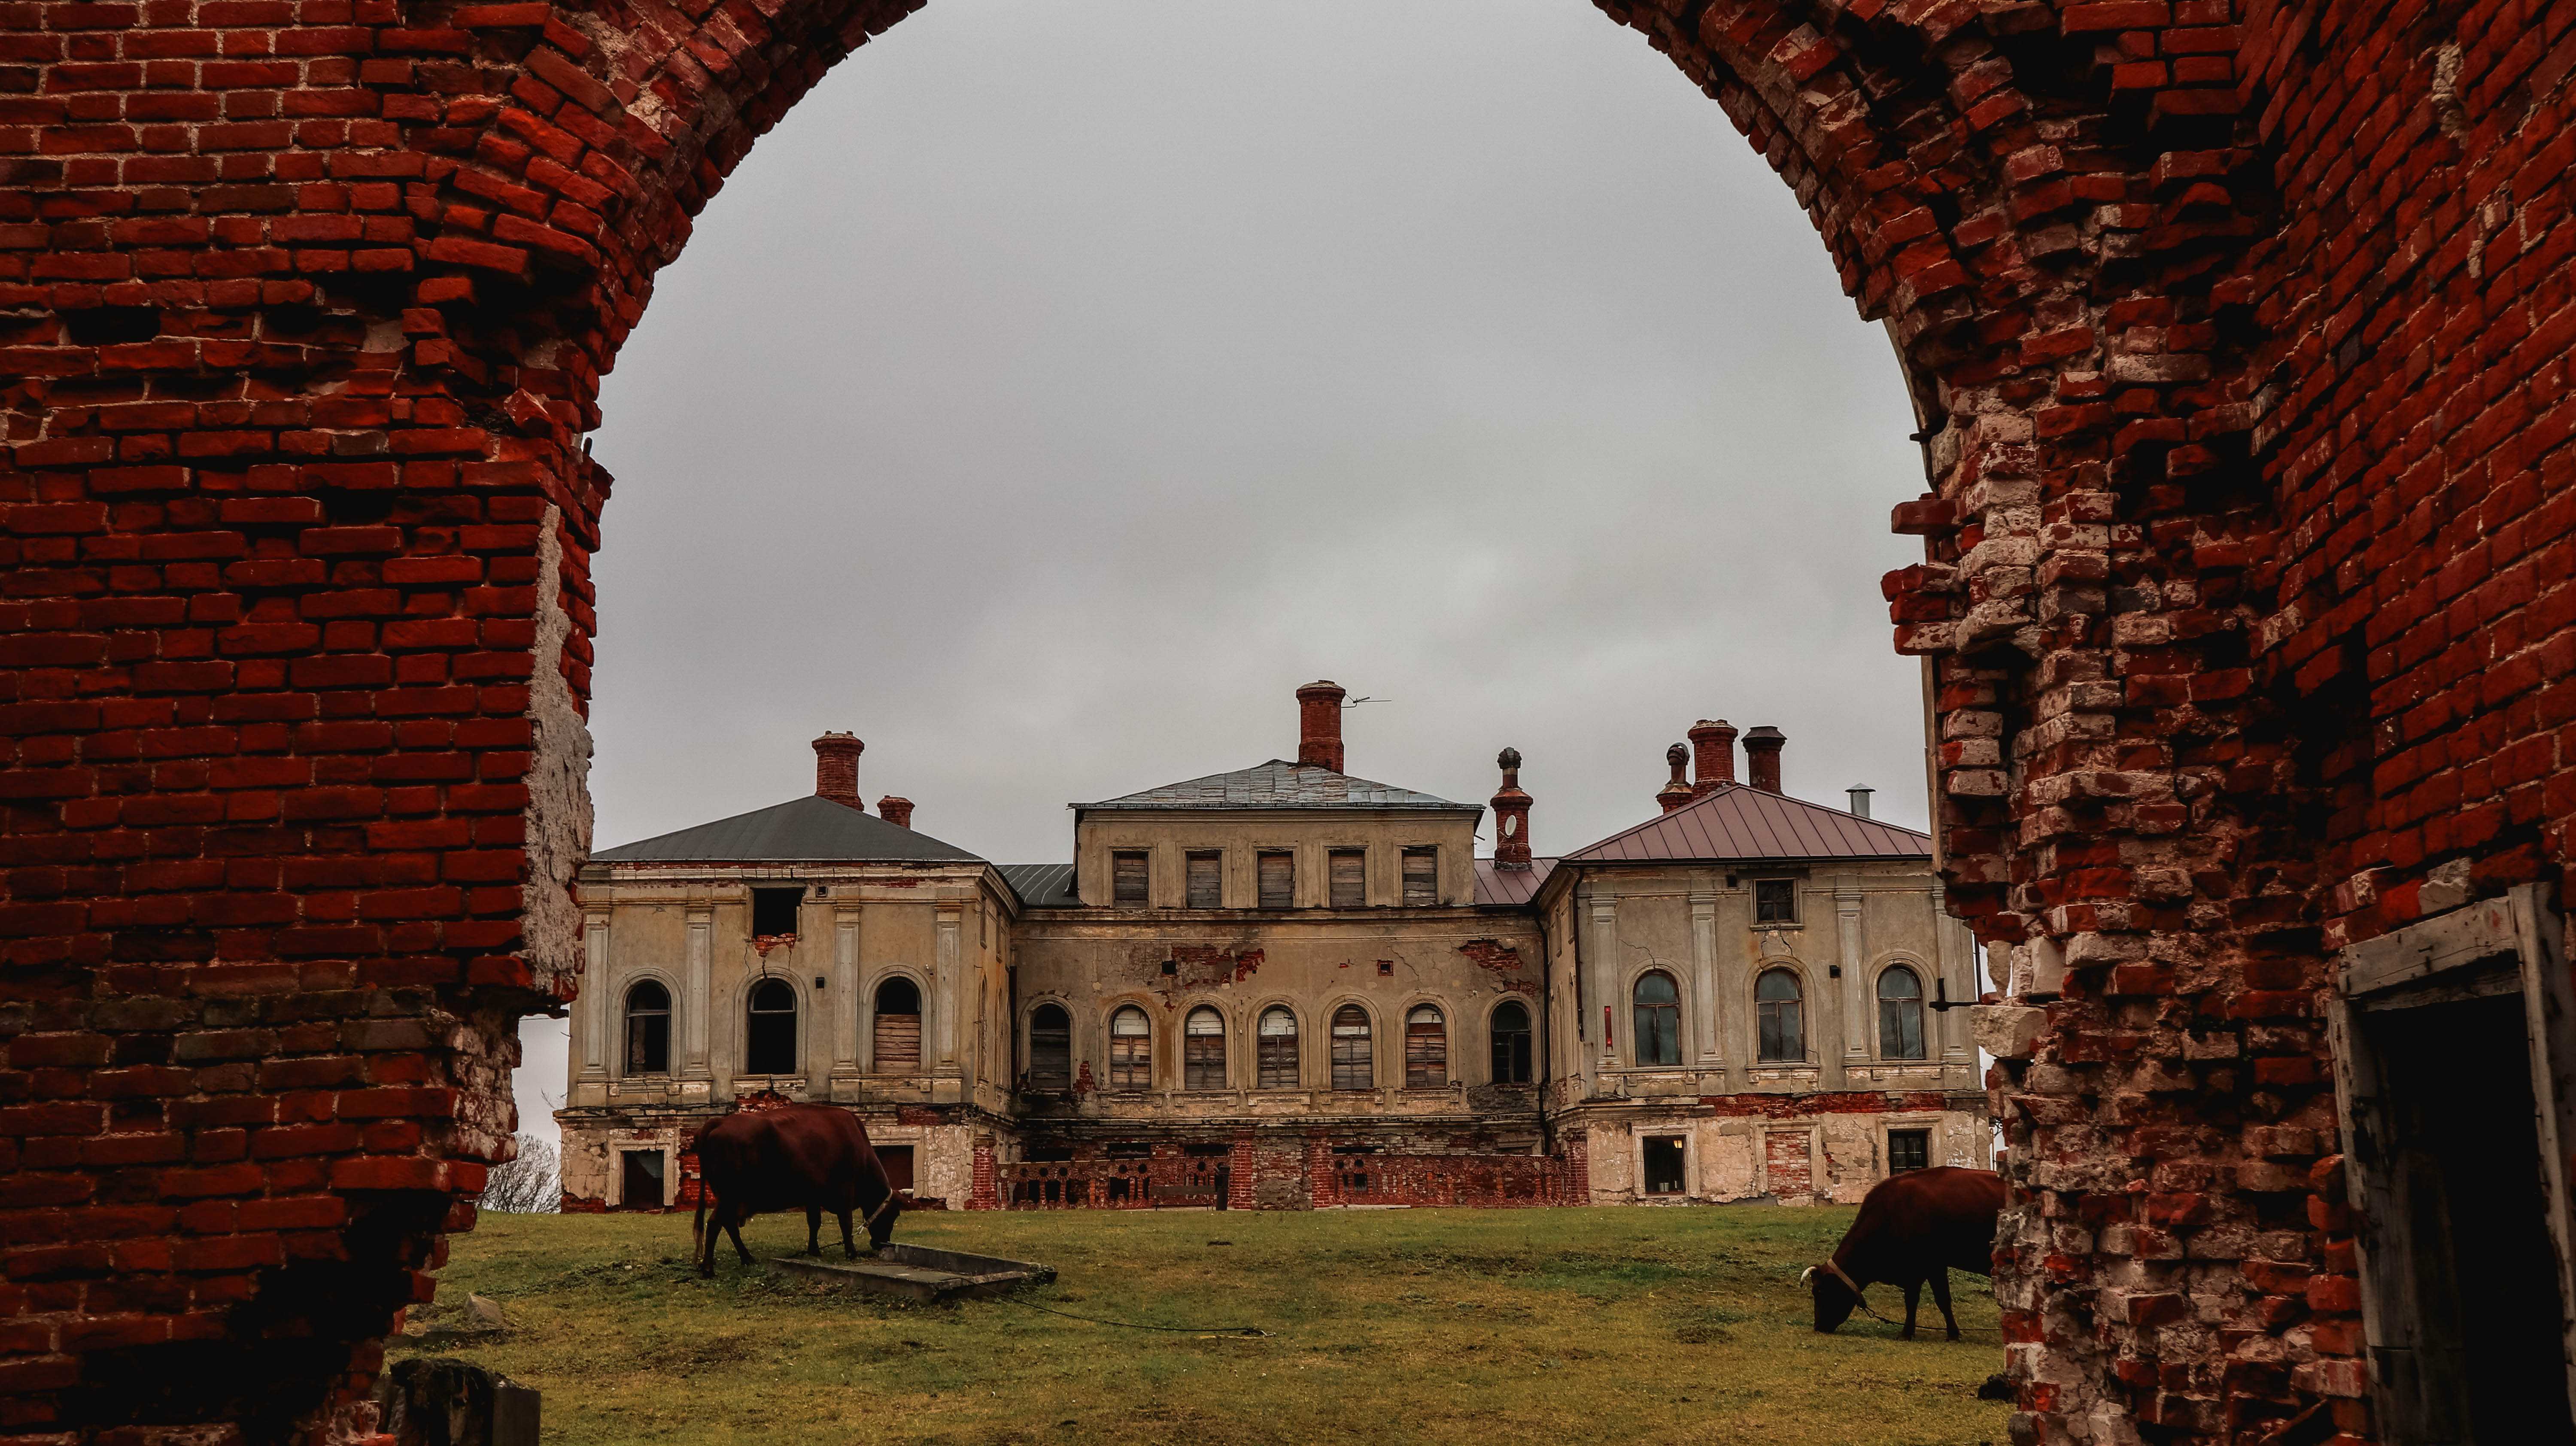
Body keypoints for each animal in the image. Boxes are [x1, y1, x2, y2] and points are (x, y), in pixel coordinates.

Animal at [690, 1103, 902, 1273]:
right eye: (894, 1214)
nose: (881, 1244)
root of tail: (719, 1122)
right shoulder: (845, 1190)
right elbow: (846, 1223)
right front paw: (851, 1253)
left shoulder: (813, 1196)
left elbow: (814, 1222)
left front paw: (814, 1250)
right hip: (730, 1196)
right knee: (715, 1224)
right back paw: (709, 1269)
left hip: (728, 1198)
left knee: (729, 1225)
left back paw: (747, 1258)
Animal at [1803, 1165, 1999, 1340]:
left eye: (1819, 1291)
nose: (1818, 1326)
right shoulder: (1917, 1271)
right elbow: (1914, 1301)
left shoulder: (1930, 1265)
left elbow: (1937, 1300)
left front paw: (1945, 1334)